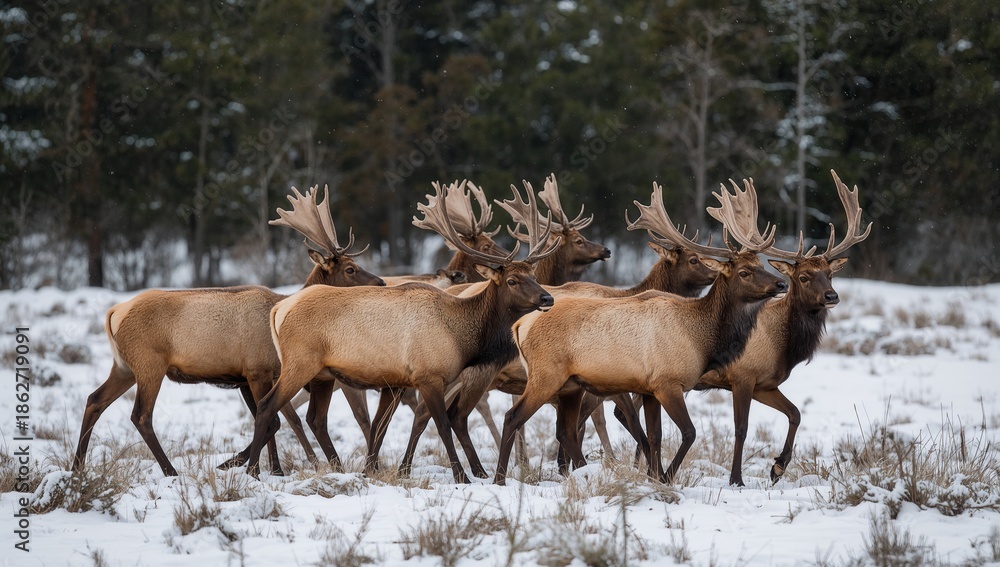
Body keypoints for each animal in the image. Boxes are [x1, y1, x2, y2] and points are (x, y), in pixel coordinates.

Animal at [73, 186, 384, 478]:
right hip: (150, 364)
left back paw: (77, 467)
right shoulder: (257, 370)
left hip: (124, 366)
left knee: (94, 400)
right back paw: (170, 471)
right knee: (140, 415)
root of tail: (115, 313)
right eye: (351, 268)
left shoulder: (246, 377)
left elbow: (271, 420)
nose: (381, 282)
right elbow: (273, 420)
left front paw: (271, 469)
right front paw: (241, 466)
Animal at [243, 180, 561, 482]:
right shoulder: (428, 376)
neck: (462, 337)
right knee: (268, 406)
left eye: (533, 275)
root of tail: (279, 309)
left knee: (314, 418)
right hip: (300, 363)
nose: (547, 298)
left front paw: (373, 471)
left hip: (322, 375)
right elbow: (441, 424)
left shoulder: (394, 382)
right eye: (512, 280)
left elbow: (380, 426)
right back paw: (254, 470)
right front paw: (462, 476)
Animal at [493, 181, 788, 485]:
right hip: (546, 375)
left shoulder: (649, 388)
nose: (781, 283)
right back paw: (500, 478)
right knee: (513, 417)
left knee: (564, 430)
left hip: (570, 386)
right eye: (744, 272)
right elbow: (688, 432)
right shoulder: (667, 382)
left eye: (761, 265)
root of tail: (520, 325)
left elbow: (655, 436)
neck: (700, 337)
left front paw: (655, 476)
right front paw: (666, 476)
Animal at [691, 170, 870, 486]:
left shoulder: (766, 384)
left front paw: (778, 467)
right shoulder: (742, 376)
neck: (783, 347)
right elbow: (741, 429)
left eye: (830, 274)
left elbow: (796, 413)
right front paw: (736, 479)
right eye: (804, 276)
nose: (832, 296)